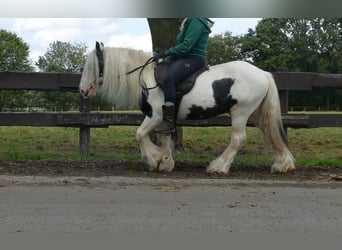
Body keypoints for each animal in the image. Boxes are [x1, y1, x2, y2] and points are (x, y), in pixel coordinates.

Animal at [79, 42, 294, 174]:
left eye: (92, 66)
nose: (82, 90)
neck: (147, 78)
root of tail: (263, 73)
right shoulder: (164, 119)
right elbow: (163, 137)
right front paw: (165, 162)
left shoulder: (156, 115)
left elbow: (139, 134)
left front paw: (152, 159)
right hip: (256, 114)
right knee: (272, 133)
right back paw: (283, 164)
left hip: (240, 113)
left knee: (238, 139)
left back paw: (219, 166)